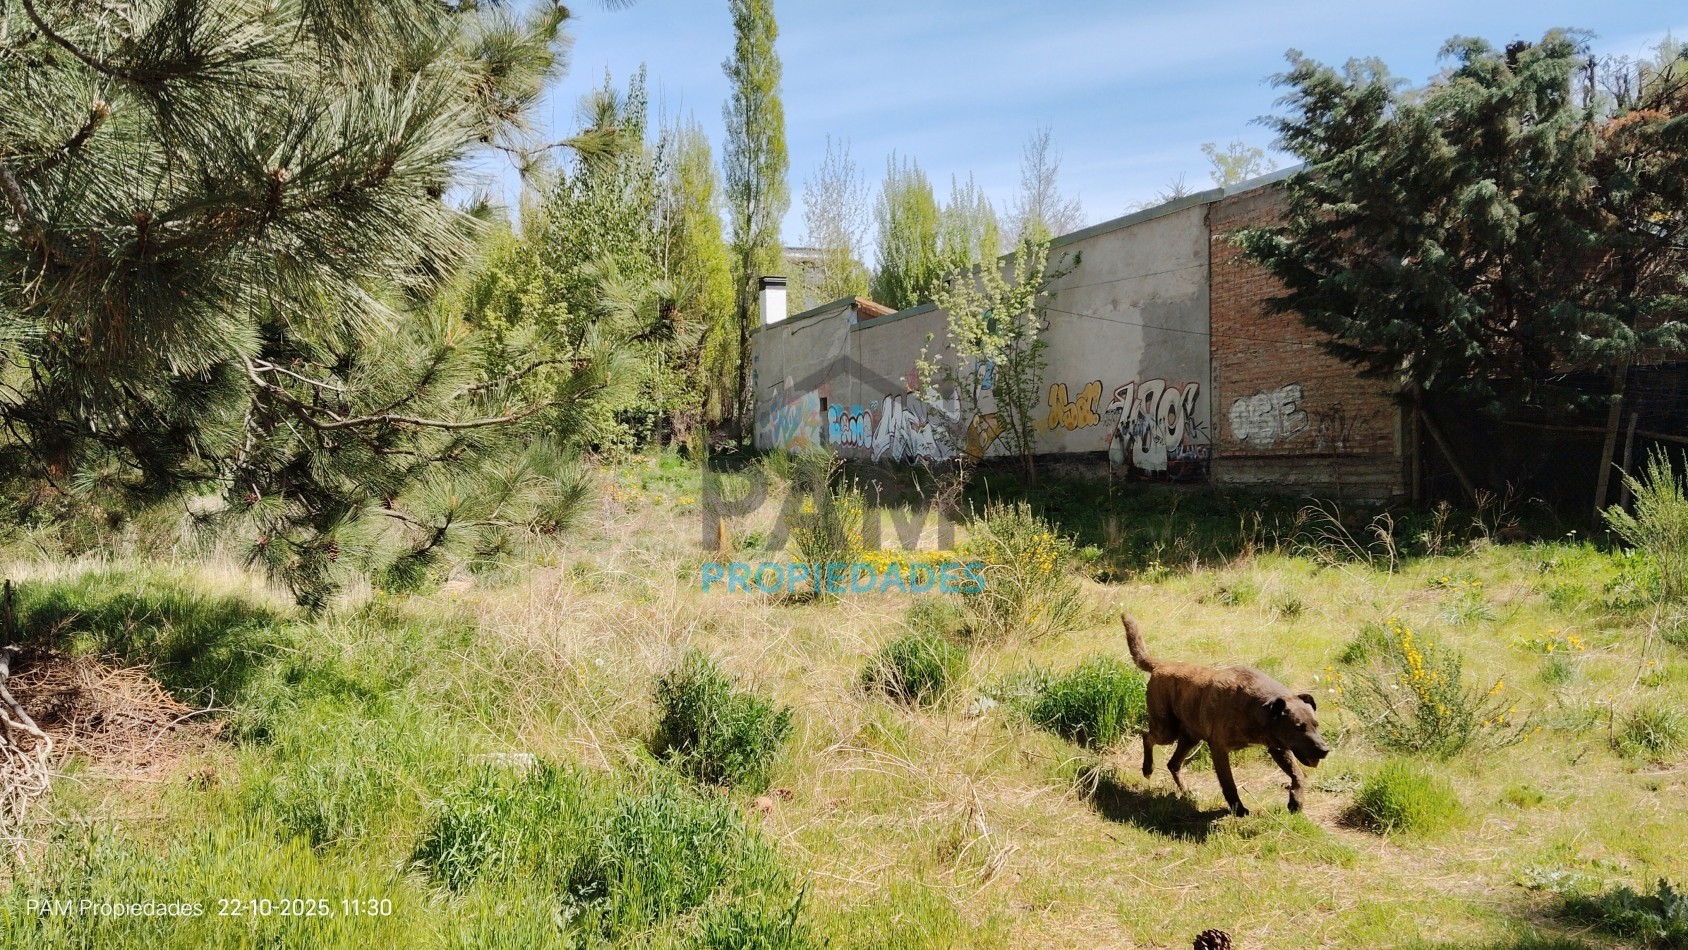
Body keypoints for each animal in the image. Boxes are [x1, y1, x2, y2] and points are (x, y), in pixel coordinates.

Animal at [1123, 614, 1330, 816]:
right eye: (1298, 727)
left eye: (1316, 725)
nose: (1324, 750)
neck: (1259, 708)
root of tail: (1161, 665)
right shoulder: (1219, 749)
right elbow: (1229, 783)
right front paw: (1239, 809)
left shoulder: (1278, 747)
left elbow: (1298, 775)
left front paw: (1296, 802)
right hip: (1167, 730)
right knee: (1147, 737)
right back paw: (1147, 768)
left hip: (1190, 737)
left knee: (1173, 764)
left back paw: (1187, 791)